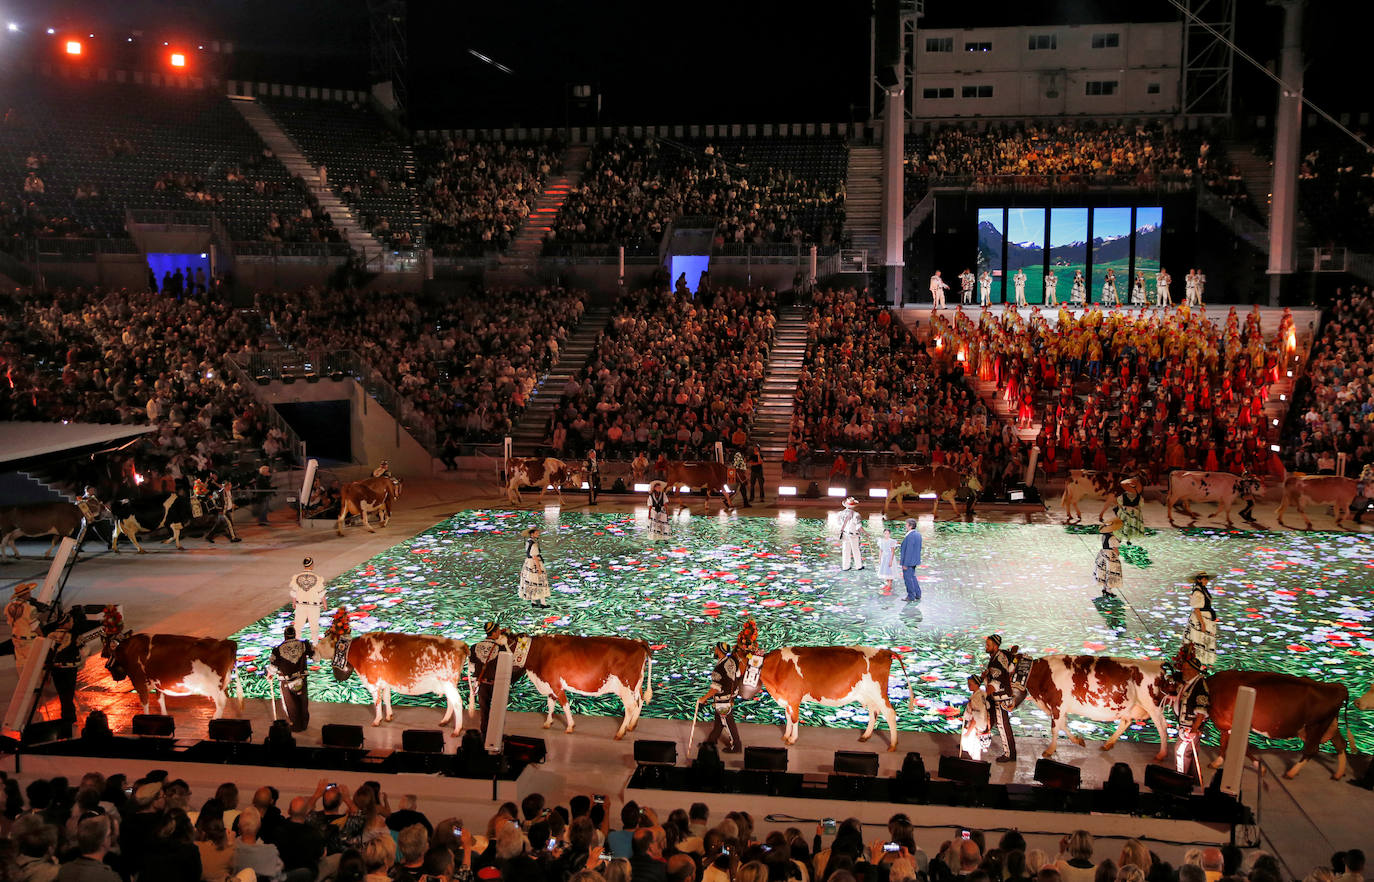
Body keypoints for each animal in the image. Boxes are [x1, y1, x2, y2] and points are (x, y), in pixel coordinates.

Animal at [103, 629, 243, 719]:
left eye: (109, 654)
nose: (106, 666)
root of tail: (225, 642)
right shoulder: (157, 682)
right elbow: (160, 700)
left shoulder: (139, 682)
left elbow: (145, 704)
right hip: (223, 684)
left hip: (214, 686)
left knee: (221, 702)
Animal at [318, 626, 469, 736]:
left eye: (323, 641)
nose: (313, 651)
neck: (358, 651)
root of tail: (460, 644)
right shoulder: (385, 682)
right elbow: (387, 698)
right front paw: (389, 716)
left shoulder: (373, 682)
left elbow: (377, 701)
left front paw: (377, 720)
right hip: (448, 684)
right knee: (451, 701)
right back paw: (445, 721)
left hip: (448, 682)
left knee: (457, 702)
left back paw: (457, 730)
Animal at [472, 629, 654, 736]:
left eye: (510, 639)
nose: (497, 638)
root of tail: (638, 642)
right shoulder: (549, 685)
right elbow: (551, 704)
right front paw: (548, 723)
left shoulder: (556, 684)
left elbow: (565, 705)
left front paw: (570, 726)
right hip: (636, 685)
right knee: (639, 703)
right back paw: (631, 726)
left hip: (626, 686)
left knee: (630, 707)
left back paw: (621, 732)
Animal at [763, 645, 912, 747]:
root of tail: (884, 651)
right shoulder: (786, 699)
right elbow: (788, 717)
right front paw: (786, 736)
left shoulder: (794, 698)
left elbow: (794, 719)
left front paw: (792, 739)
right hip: (869, 695)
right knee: (873, 713)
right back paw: (865, 736)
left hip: (878, 692)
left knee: (890, 713)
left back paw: (893, 745)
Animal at [956, 653, 1170, 758]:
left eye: (995, 674)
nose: (990, 691)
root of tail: (1157, 665)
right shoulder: (1058, 707)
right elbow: (1064, 726)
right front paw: (1078, 741)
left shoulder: (1057, 704)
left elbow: (1054, 728)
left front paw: (1049, 751)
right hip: (1128, 706)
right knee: (1126, 721)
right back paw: (1108, 744)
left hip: (1152, 706)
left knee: (1163, 728)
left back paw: (1161, 754)